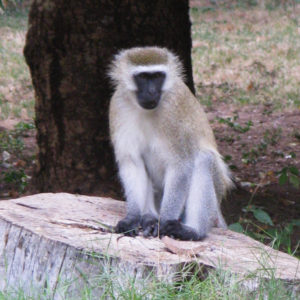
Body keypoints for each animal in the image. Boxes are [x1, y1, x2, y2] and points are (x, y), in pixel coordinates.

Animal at [108, 47, 232, 240]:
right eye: (143, 77)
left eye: (158, 76)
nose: (152, 92)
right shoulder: (118, 106)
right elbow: (132, 163)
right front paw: (132, 218)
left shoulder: (174, 111)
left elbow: (181, 165)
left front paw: (163, 223)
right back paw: (149, 217)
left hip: (216, 191)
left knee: (204, 160)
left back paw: (192, 231)